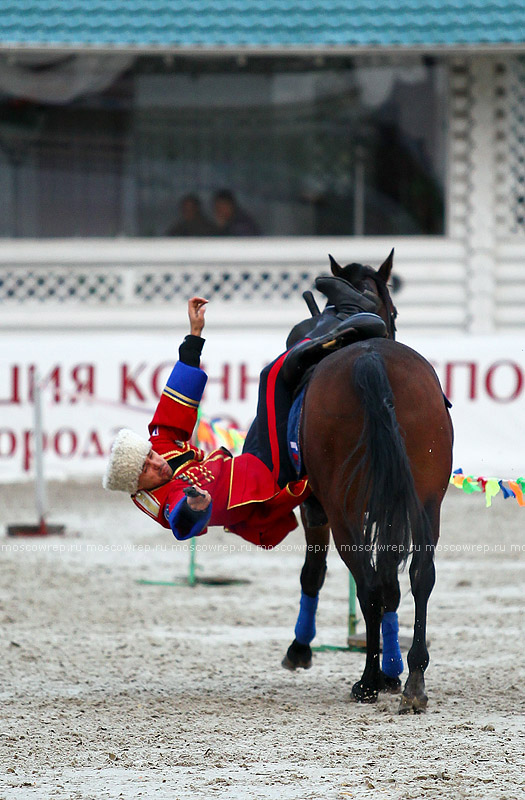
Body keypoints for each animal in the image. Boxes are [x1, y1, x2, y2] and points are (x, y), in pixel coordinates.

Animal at [282, 253, 450, 716]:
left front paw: (301, 648)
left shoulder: (316, 509)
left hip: (343, 511)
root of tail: (369, 358)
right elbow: (394, 583)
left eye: (394, 311)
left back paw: (369, 680)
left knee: (368, 583)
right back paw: (413, 679)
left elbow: (315, 572)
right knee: (419, 574)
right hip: (426, 500)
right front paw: (395, 670)